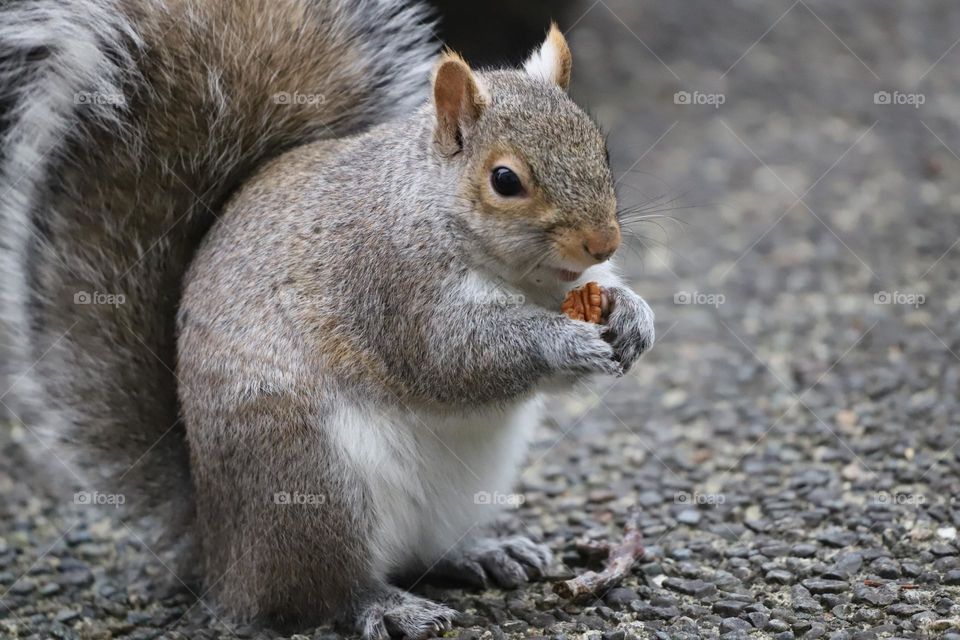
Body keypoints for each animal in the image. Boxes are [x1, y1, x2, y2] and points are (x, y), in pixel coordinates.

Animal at [0, 2, 652, 636]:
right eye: (505, 180)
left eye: (601, 148)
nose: (603, 241)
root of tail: (221, 554)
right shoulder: (391, 283)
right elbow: (454, 357)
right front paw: (565, 342)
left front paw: (633, 317)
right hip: (311, 482)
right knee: (320, 592)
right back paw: (387, 606)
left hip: (461, 489)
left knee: (425, 552)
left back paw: (484, 553)